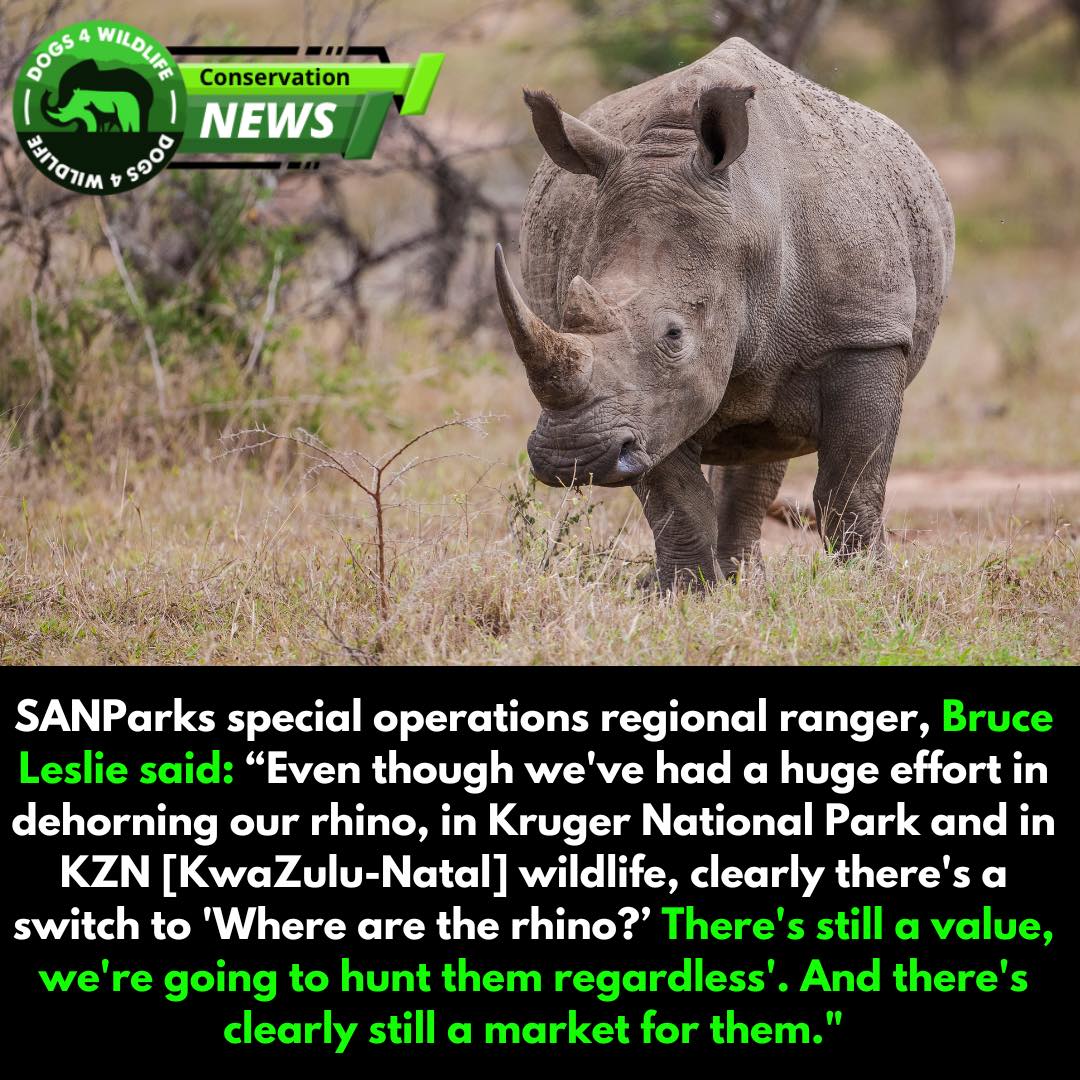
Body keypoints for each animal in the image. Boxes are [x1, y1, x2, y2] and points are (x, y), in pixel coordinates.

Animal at [495, 37, 954, 589]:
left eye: (674, 335)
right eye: (565, 316)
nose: (572, 458)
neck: (750, 226)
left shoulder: (865, 334)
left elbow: (851, 485)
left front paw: (869, 586)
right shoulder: (648, 403)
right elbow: (678, 503)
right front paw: (685, 593)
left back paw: (747, 579)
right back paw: (737, 581)